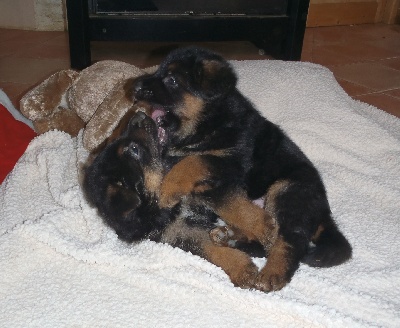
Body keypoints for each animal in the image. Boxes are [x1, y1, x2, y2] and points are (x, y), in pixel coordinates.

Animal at [83, 112, 268, 290]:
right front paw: (241, 268)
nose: (139, 114)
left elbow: (236, 210)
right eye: (135, 150)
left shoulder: (205, 190)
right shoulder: (179, 231)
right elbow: (208, 246)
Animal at [131, 46, 350, 292]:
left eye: (172, 80)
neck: (210, 122)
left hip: (287, 188)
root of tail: (324, 210)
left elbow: (193, 161)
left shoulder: (231, 162)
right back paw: (230, 236)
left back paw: (273, 273)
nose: (135, 89)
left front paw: (168, 188)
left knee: (291, 241)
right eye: (157, 71)